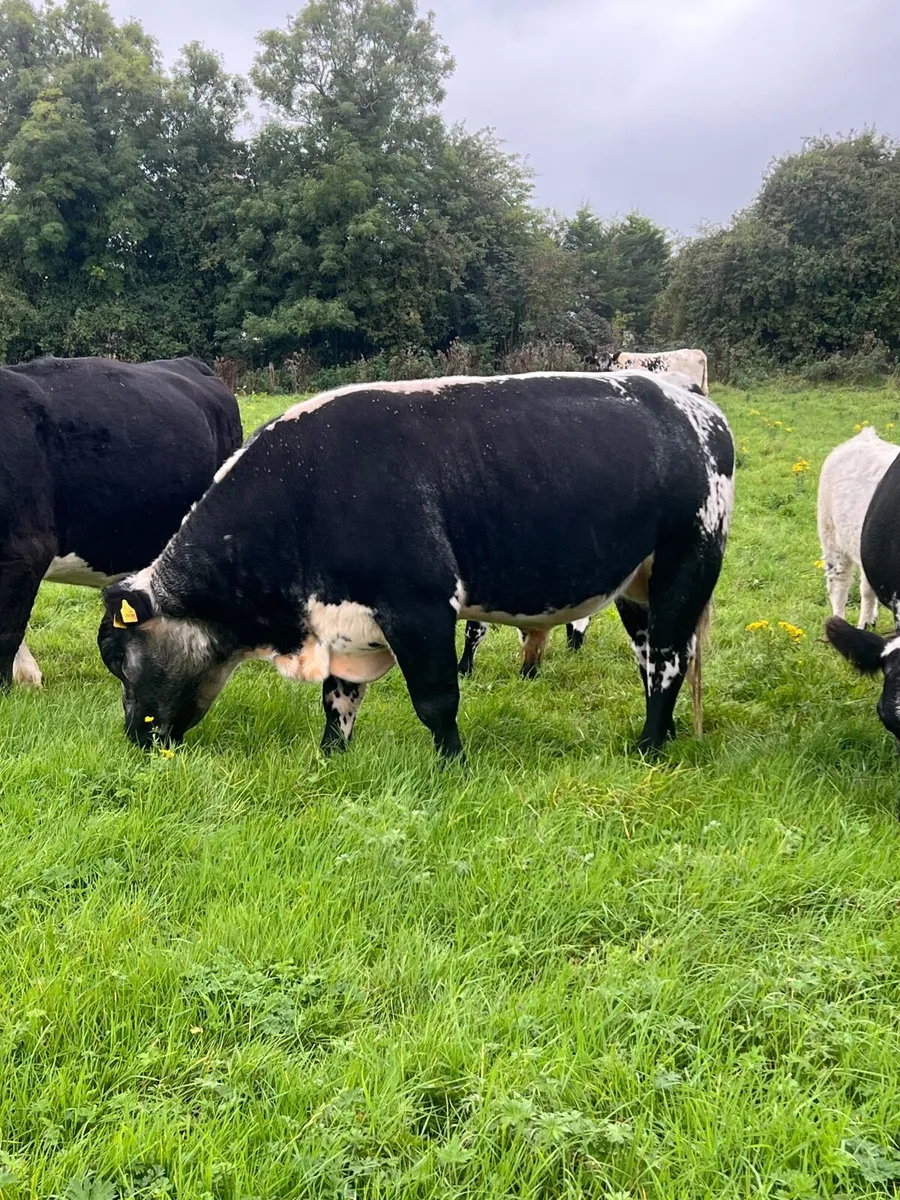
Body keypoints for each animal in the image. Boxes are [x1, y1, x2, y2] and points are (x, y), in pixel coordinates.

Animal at [97, 371, 735, 762]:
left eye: (121, 659)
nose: (134, 738)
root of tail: (689, 399)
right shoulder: (344, 621)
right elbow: (338, 699)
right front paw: (331, 757)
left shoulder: (420, 606)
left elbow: (436, 698)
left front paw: (453, 765)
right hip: (638, 585)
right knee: (652, 657)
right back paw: (663, 734)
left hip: (688, 560)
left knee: (669, 660)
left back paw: (648, 747)